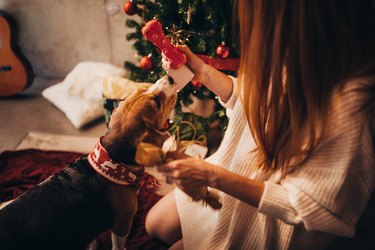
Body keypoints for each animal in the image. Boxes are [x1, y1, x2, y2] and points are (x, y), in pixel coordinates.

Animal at [0, 75, 178, 250]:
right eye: (157, 102)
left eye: (142, 89)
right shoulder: (122, 224)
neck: (112, 164)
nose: (170, 77)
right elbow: (118, 245)